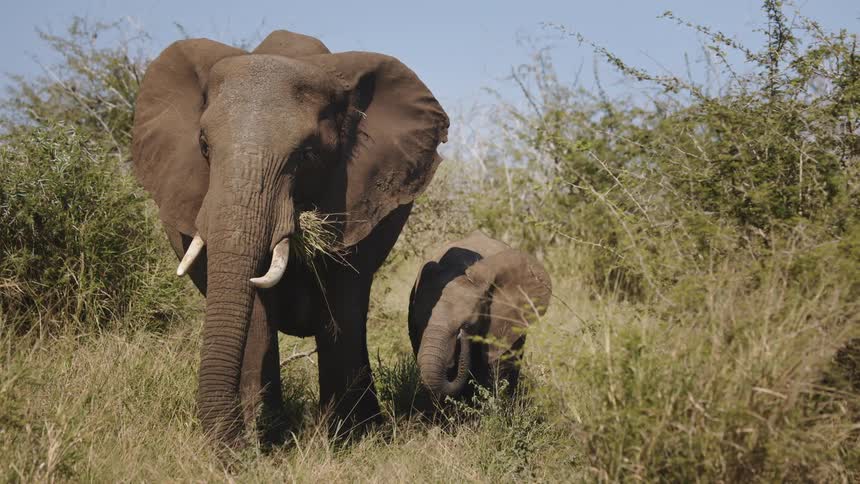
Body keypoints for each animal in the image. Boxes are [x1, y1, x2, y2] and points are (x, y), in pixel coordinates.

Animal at [131, 30, 448, 444]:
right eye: (203, 146)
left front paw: (348, 438)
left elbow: (343, 298)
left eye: (307, 155)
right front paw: (263, 436)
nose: (232, 446)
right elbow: (255, 311)